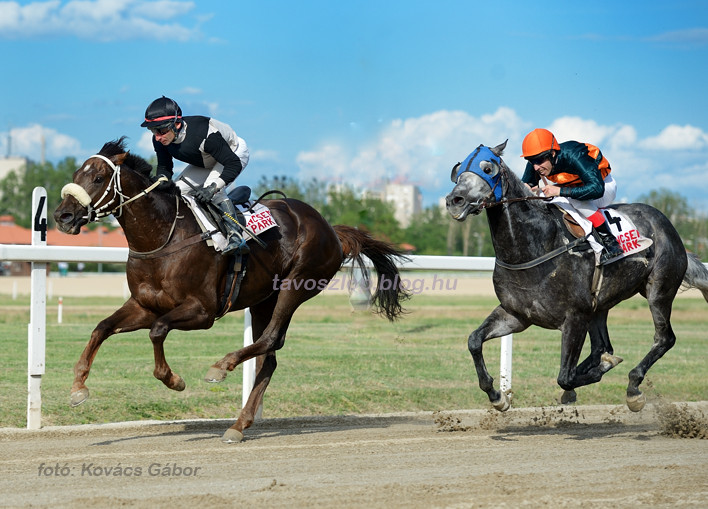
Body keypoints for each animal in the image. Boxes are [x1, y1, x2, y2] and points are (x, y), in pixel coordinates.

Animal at [54, 137, 410, 442]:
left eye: (98, 177)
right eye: (75, 175)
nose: (62, 216)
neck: (163, 237)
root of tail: (331, 229)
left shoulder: (203, 311)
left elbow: (158, 331)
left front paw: (174, 380)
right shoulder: (144, 305)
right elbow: (101, 328)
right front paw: (77, 387)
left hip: (296, 285)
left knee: (270, 339)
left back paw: (221, 367)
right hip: (263, 299)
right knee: (269, 359)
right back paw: (239, 425)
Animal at [446, 141, 704, 410]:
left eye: (488, 168)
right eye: (459, 170)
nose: (455, 200)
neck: (534, 247)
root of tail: (669, 226)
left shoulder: (575, 317)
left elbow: (565, 377)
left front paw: (601, 369)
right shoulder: (516, 315)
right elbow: (474, 340)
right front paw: (498, 396)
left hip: (659, 290)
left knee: (664, 339)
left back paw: (633, 387)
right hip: (600, 306)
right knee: (602, 346)